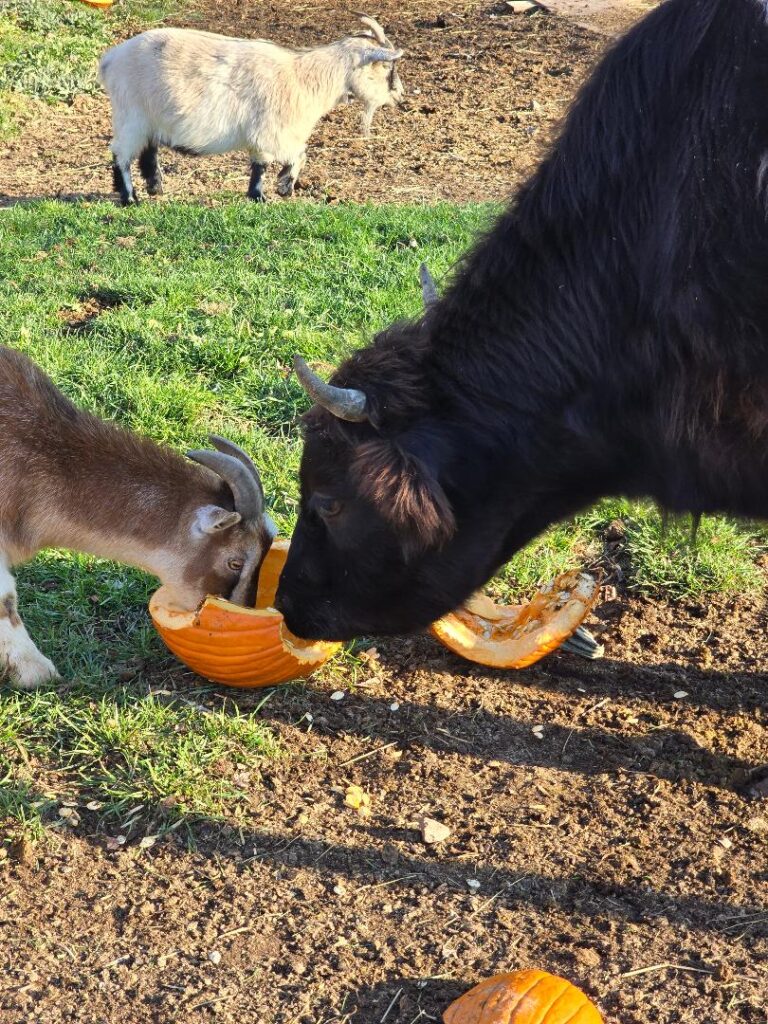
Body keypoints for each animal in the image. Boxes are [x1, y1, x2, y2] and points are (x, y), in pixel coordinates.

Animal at [99, 14, 405, 203]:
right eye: (386, 67)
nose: (400, 96)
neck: (304, 78)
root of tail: (110, 59)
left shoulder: (269, 136)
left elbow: (269, 163)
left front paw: (268, 192)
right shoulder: (273, 132)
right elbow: (292, 158)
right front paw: (276, 190)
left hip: (149, 120)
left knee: (148, 152)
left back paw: (155, 187)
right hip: (131, 116)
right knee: (121, 155)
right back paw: (130, 198)